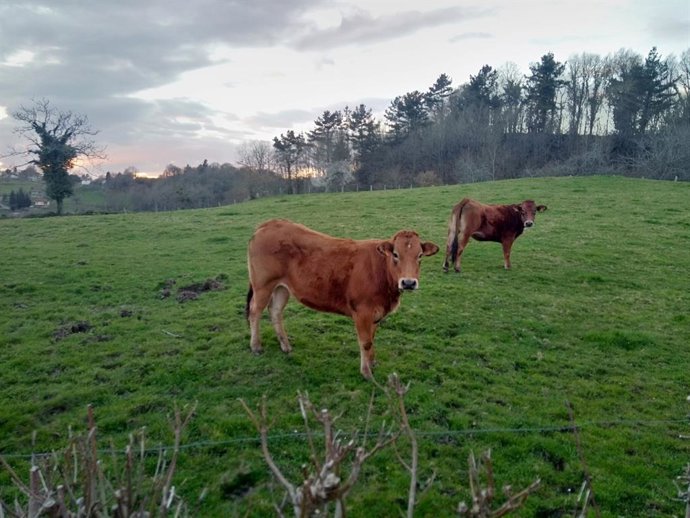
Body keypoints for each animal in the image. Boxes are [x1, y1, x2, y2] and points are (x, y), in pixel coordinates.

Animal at [246, 219, 439, 379]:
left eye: (420, 255)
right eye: (396, 254)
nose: (408, 282)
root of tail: (269, 223)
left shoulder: (376, 313)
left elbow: (372, 338)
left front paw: (372, 363)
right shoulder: (362, 312)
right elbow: (365, 342)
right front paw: (366, 373)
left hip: (281, 288)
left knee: (275, 311)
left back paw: (285, 346)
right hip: (263, 285)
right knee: (255, 312)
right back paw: (256, 346)